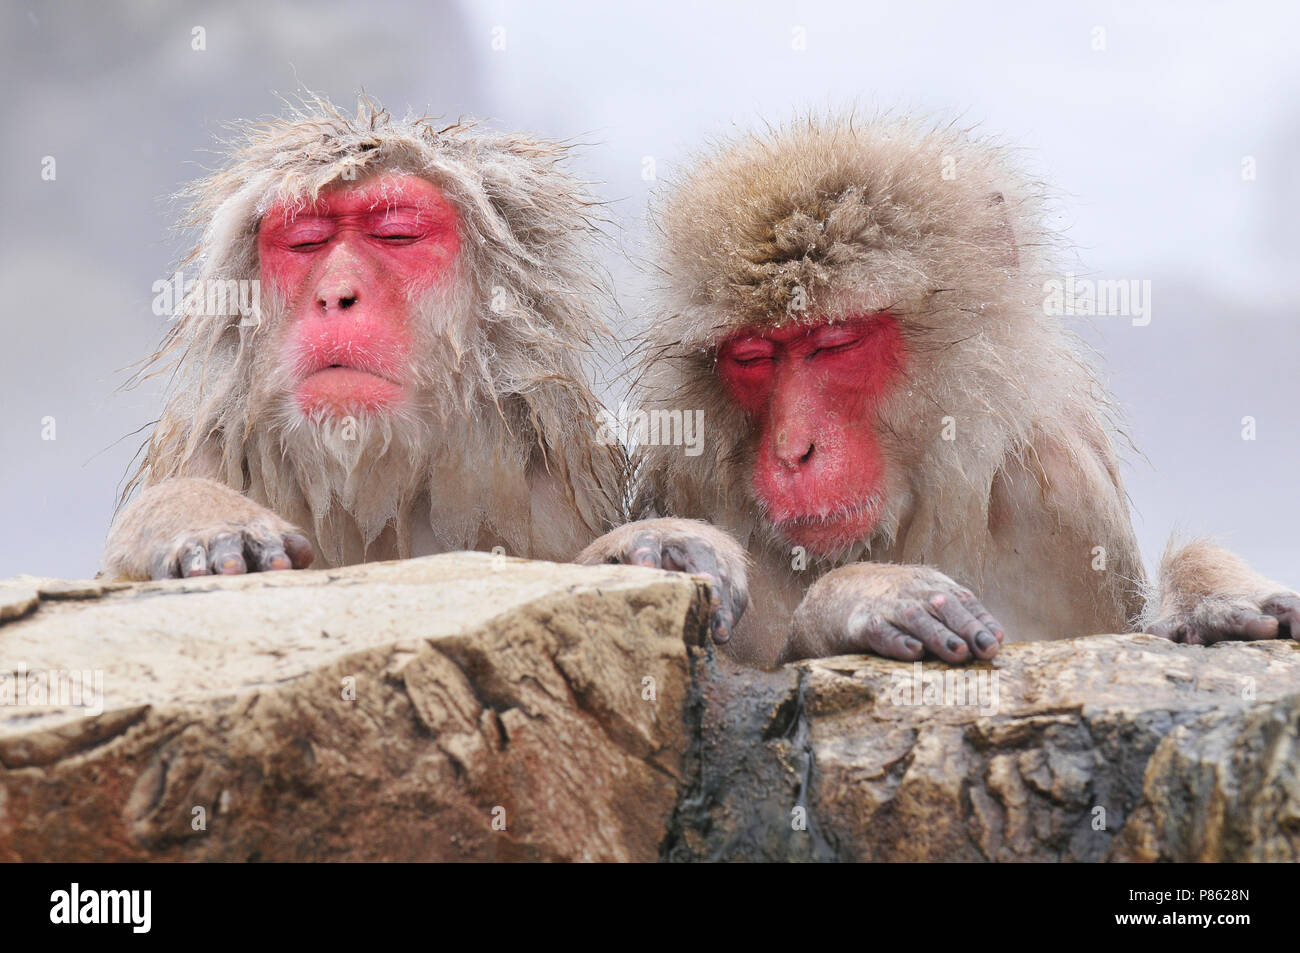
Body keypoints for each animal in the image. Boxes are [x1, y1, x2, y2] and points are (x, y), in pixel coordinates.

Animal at [582, 115, 1300, 670]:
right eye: (753, 356)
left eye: (835, 342)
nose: (793, 450)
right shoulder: (692, 481)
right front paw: (857, 597)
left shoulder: (1065, 498)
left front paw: (1214, 594)